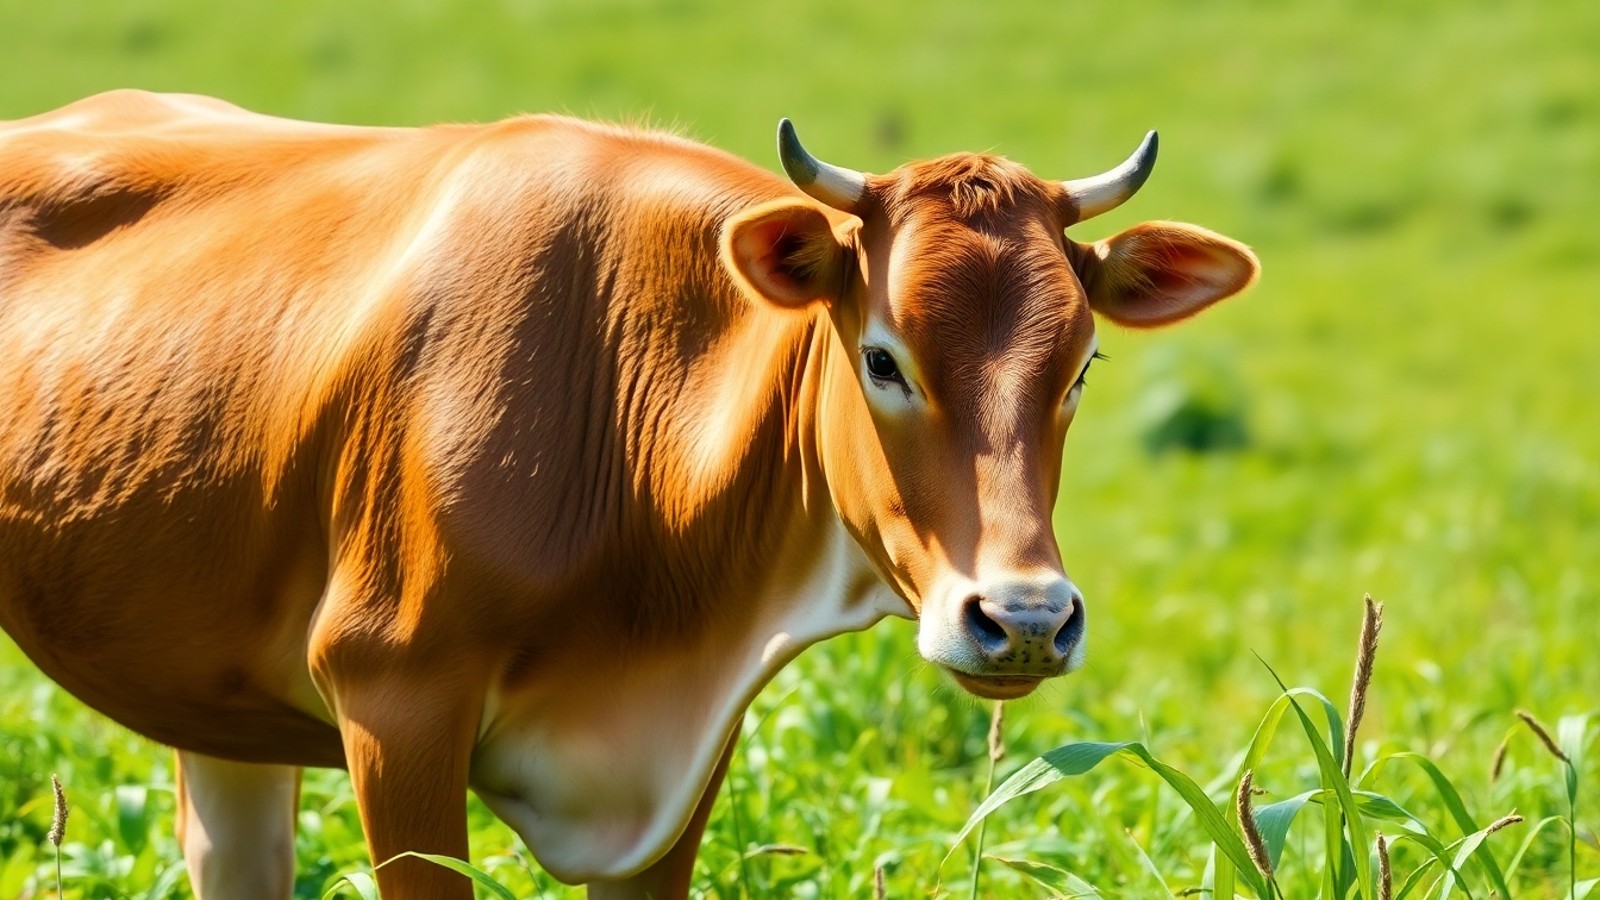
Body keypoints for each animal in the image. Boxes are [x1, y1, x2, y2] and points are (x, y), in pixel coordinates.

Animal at [0, 90, 1258, 898]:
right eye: (882, 358)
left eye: (1081, 365)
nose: (1025, 618)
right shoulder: (391, 700)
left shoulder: (684, 757)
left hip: (221, 711)